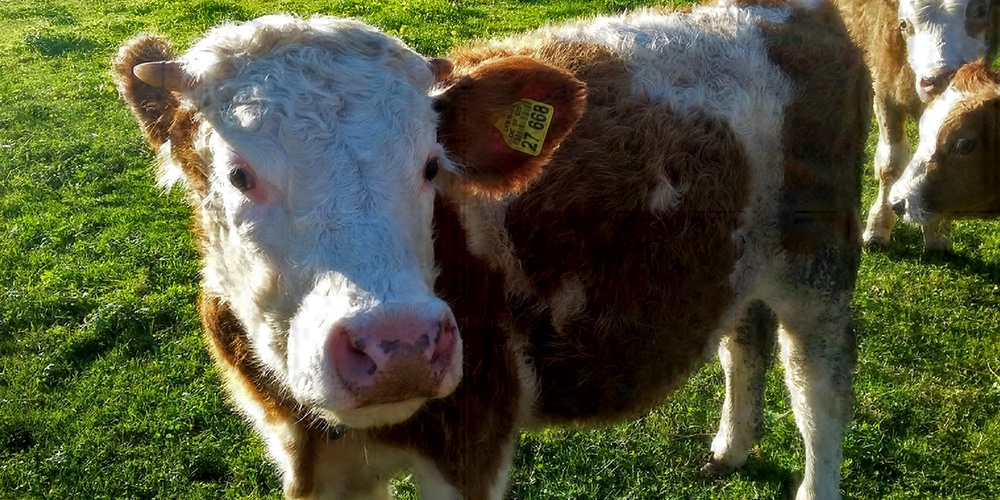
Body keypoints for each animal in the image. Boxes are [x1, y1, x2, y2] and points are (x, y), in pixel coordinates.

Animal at [113, 1, 872, 498]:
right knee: (745, 339)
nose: (399, 345)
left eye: (430, 165)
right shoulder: (308, 459)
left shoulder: (472, 442)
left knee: (819, 389)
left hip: (818, 263)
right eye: (239, 174)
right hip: (740, 258)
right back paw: (731, 449)